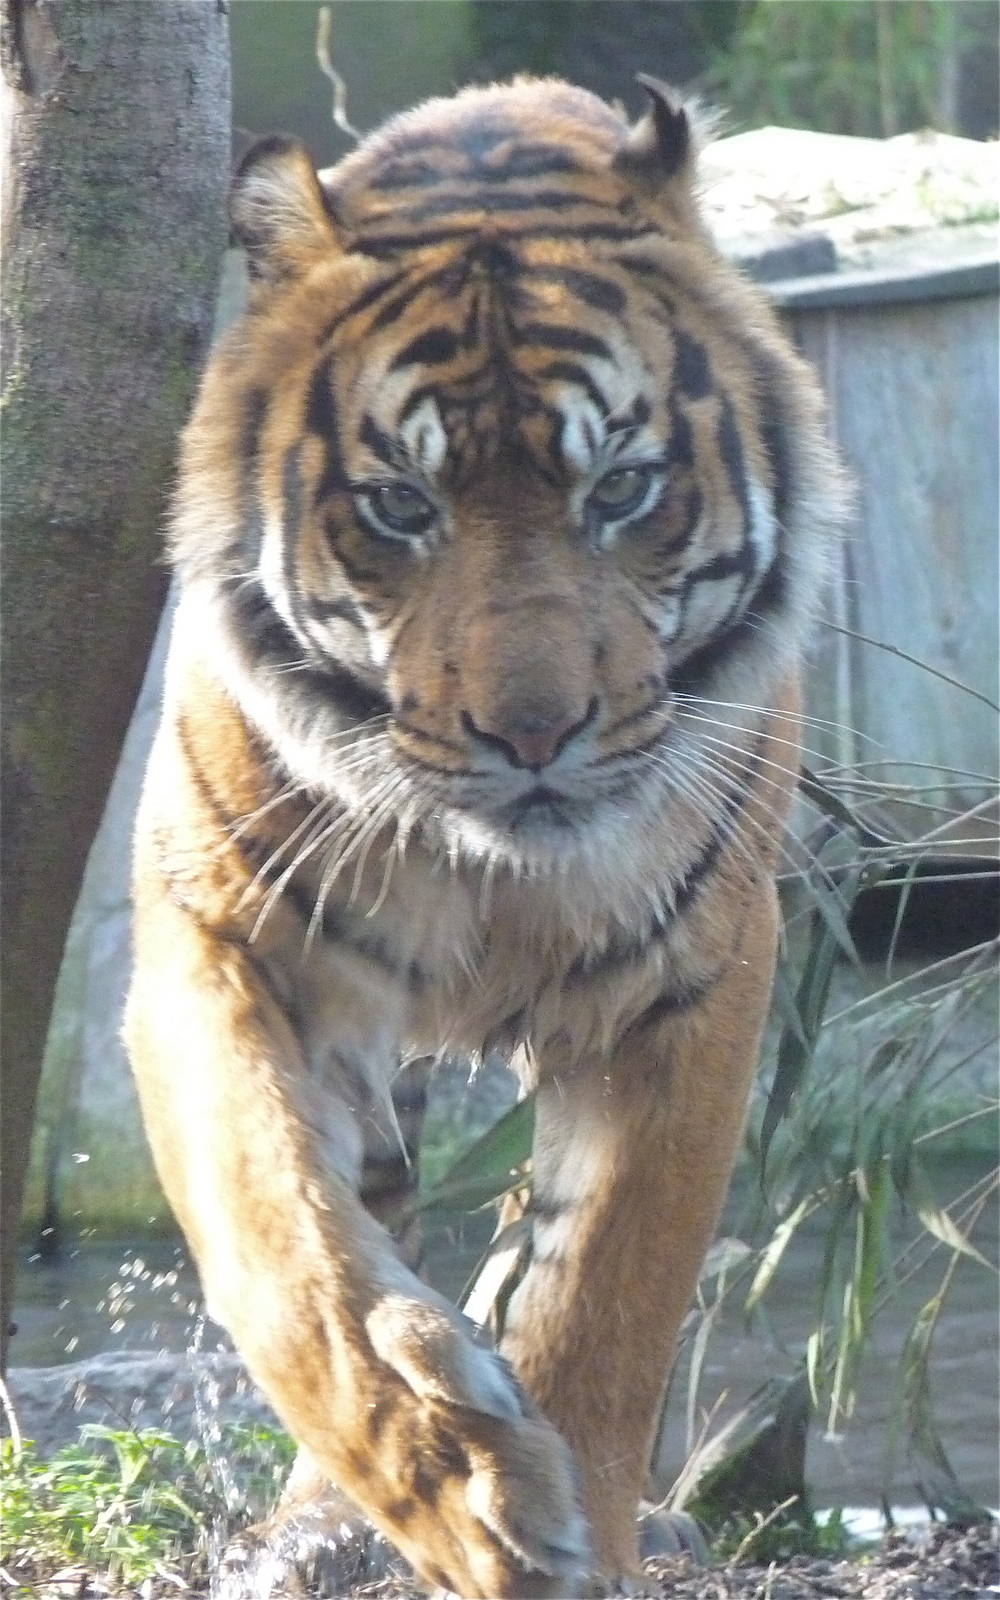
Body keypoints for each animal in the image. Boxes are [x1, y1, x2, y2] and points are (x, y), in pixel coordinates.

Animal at [125, 74, 844, 1599]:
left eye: (619, 490)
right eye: (403, 506)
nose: (534, 733)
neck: (489, 873)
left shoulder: (691, 983)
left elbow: (605, 1290)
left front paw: (563, 1527)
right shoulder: (212, 944)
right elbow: (285, 1249)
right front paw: (454, 1482)